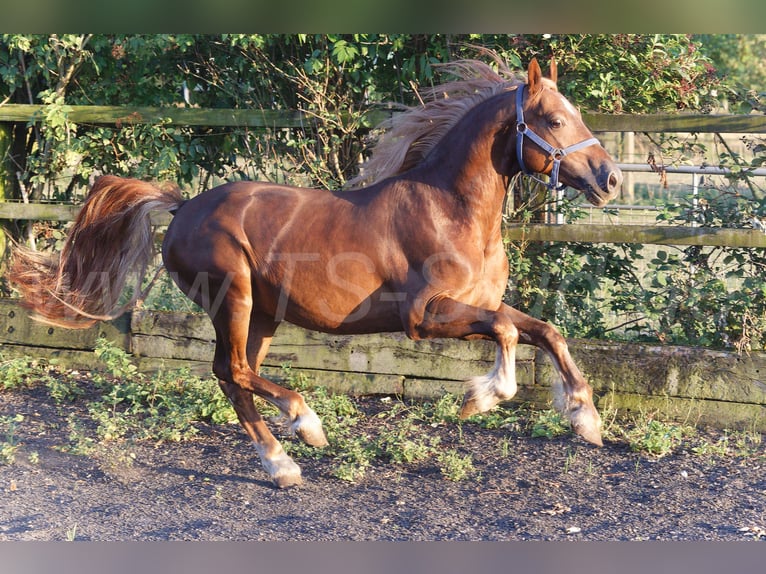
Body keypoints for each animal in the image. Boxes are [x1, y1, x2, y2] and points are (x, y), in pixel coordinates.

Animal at [11, 57, 622, 488]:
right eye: (554, 119)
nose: (610, 178)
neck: (450, 210)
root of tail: (182, 208)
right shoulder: (424, 317)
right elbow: (508, 332)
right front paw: (483, 397)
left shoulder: (480, 301)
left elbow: (543, 330)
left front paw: (585, 419)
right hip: (233, 298)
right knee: (232, 370)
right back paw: (304, 425)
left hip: (263, 314)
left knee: (234, 376)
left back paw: (282, 465)